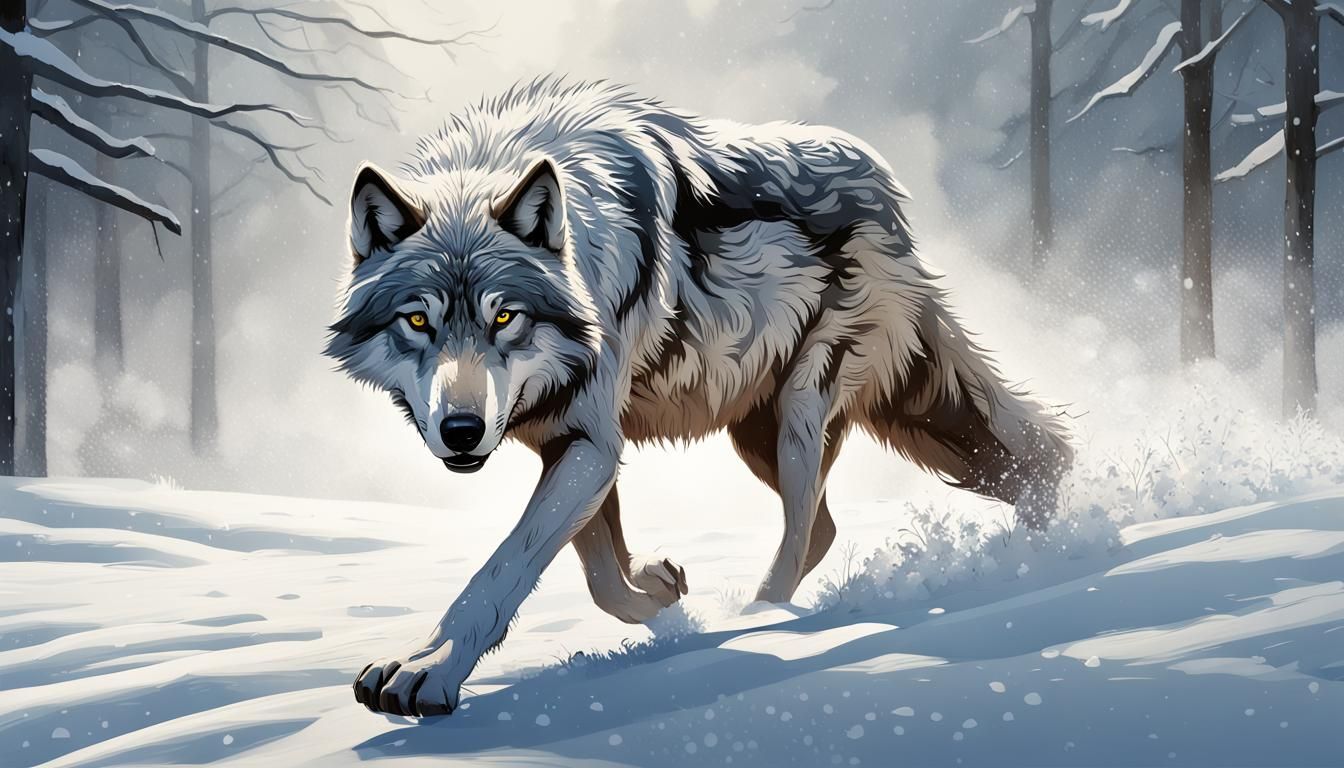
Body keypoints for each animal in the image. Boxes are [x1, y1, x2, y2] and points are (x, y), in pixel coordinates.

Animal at [325, 78, 1072, 717]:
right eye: (417, 321)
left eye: (505, 317)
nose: (461, 429)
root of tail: (889, 195)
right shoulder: (573, 441)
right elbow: (601, 576)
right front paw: (659, 591)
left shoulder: (591, 443)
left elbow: (504, 568)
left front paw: (428, 671)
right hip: (756, 434)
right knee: (827, 525)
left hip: (802, 412)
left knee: (803, 528)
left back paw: (758, 621)